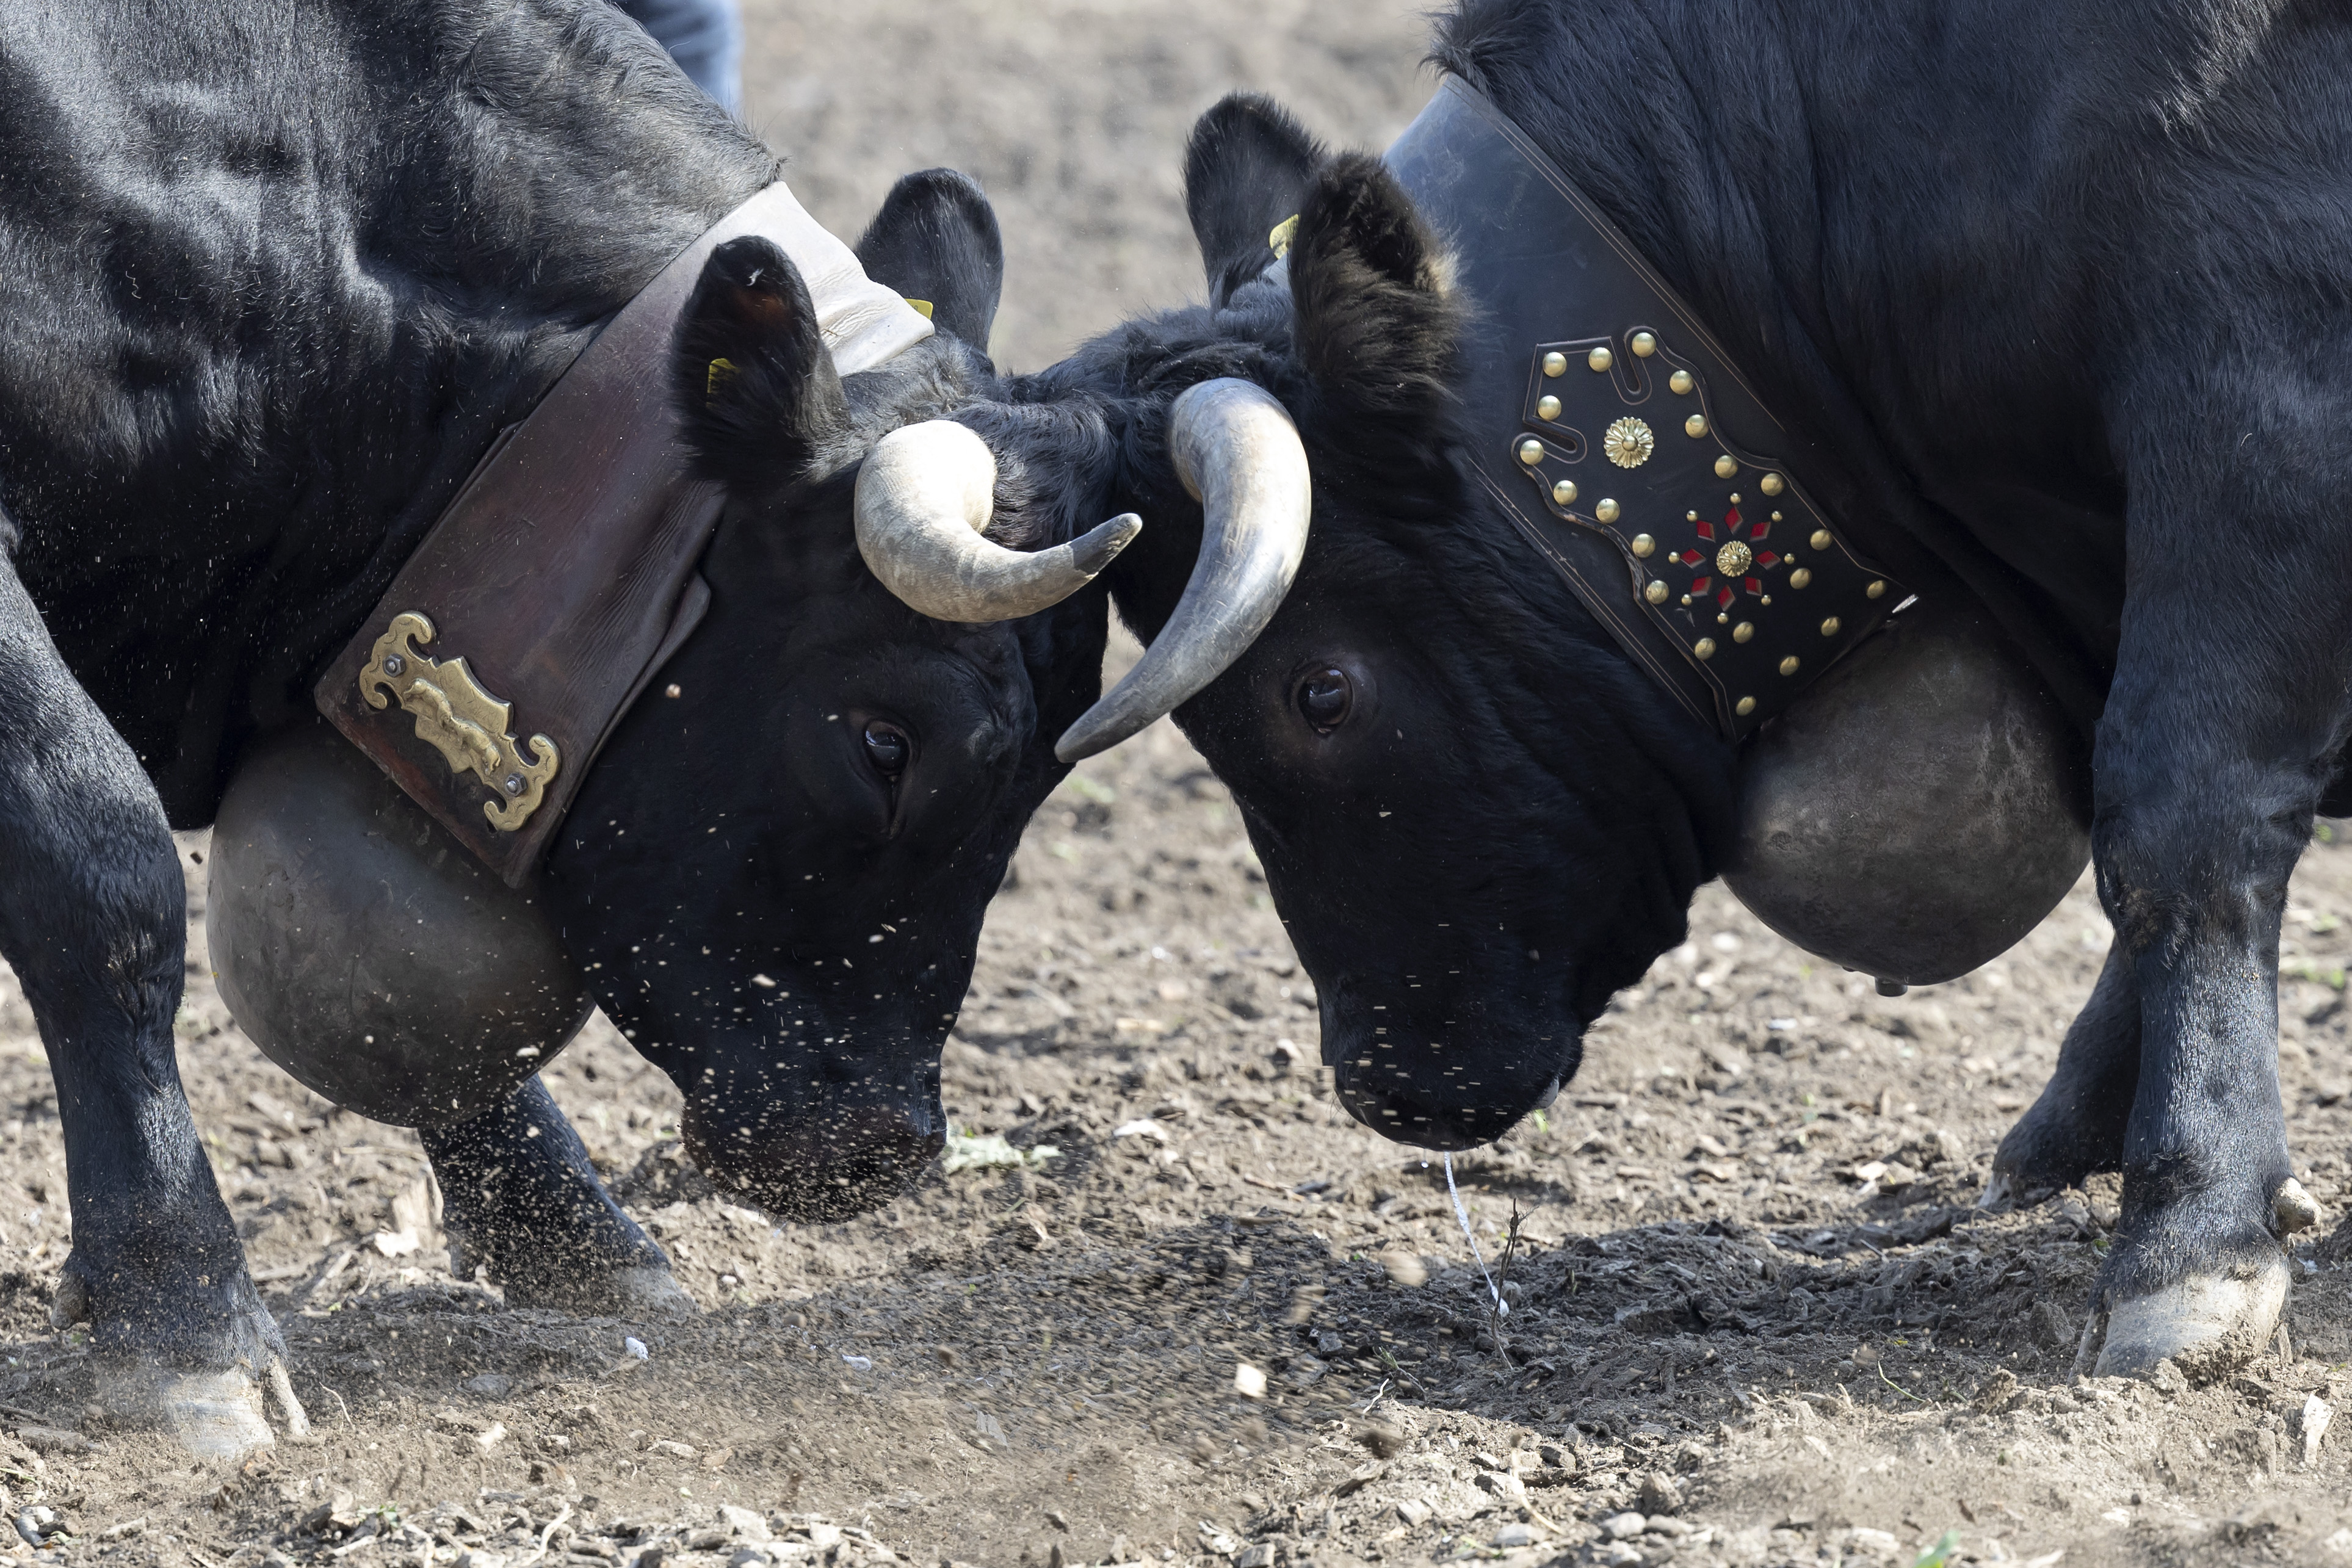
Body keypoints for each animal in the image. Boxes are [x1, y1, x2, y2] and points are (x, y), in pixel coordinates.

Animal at [0, 0, 1129, 1448]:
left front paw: (573, 1234)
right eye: (889, 743)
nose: (890, 1143)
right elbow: (105, 878)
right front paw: (182, 1314)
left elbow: (423, 991)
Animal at [1044, 0, 2352, 1382]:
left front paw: (2190, 1229)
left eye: (1322, 693)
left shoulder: (2254, 401)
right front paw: (2066, 1140)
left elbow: (2177, 818)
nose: (1373, 1076)